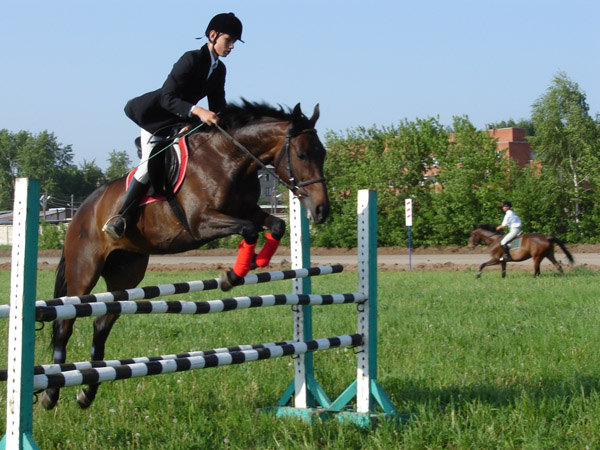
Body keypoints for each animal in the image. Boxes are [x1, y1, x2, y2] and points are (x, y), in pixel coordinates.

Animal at [39, 102, 330, 412]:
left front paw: (256, 263)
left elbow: (276, 225)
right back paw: (50, 394)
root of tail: (82, 209)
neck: (229, 157)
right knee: (65, 322)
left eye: (322, 153)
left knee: (102, 323)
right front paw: (231, 275)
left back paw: (87, 392)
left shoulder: (247, 210)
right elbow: (249, 230)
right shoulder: (200, 222)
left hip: (125, 273)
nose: (321, 209)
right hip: (84, 270)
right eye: (301, 154)